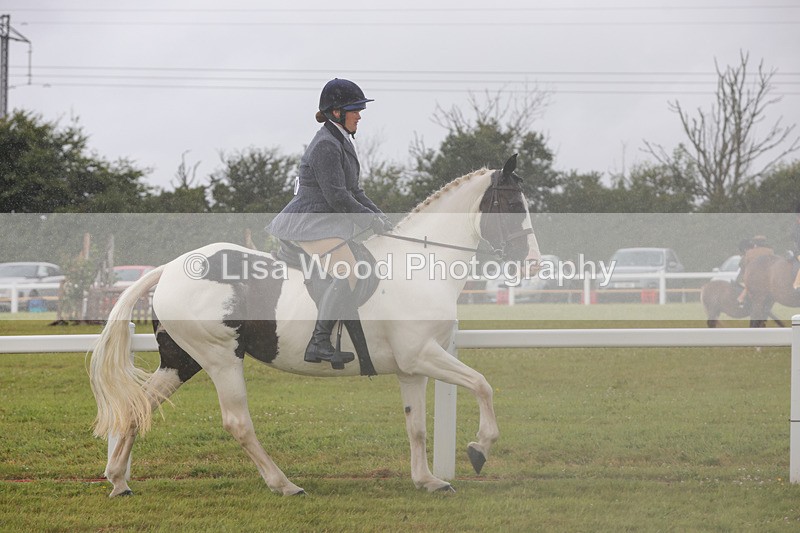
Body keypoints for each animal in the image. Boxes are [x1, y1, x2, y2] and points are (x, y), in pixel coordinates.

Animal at [89, 155, 541, 497]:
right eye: (511, 205)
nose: (533, 265)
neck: (422, 267)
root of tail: (168, 269)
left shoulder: (412, 367)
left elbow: (416, 426)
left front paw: (427, 480)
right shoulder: (423, 355)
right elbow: (482, 384)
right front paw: (479, 449)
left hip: (182, 359)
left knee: (138, 406)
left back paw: (118, 481)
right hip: (220, 358)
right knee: (237, 423)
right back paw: (284, 484)